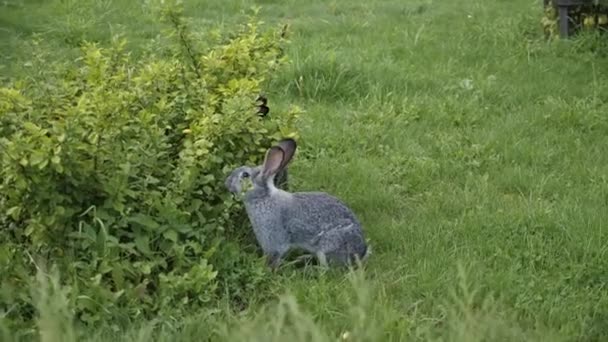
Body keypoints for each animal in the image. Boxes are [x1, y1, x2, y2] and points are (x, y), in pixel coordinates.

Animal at [222, 138, 366, 268]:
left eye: (245, 175)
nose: (227, 182)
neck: (263, 197)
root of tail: (362, 252)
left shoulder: (274, 241)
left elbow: (274, 257)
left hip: (328, 245)